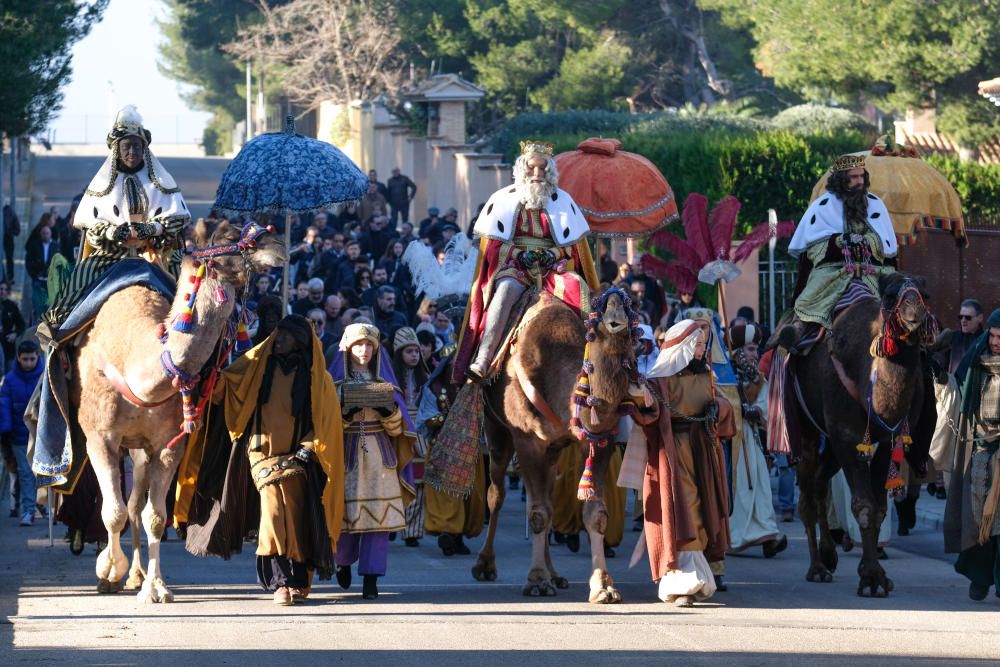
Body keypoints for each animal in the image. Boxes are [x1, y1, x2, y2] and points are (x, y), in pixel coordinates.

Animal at [67, 222, 286, 604]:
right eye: (230, 235)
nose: (277, 245)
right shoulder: (99, 436)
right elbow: (112, 512)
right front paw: (108, 572)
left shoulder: (169, 444)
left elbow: (155, 515)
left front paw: (156, 588)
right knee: (123, 506)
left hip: (141, 448)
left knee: (136, 504)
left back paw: (137, 575)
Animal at [470, 288, 640, 604]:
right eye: (598, 326)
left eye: (631, 310)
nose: (615, 305)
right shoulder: (528, 439)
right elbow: (537, 513)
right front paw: (536, 581)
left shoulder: (598, 440)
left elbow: (596, 514)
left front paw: (603, 586)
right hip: (496, 430)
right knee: (497, 493)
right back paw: (485, 565)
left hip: (554, 450)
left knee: (548, 496)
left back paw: (556, 574)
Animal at [788, 274, 936, 596]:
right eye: (890, 295)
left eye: (926, 294)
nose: (915, 309)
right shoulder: (845, 433)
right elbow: (864, 504)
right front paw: (871, 578)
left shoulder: (888, 438)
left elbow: (879, 507)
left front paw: (875, 573)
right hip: (804, 426)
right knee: (807, 488)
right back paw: (817, 568)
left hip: (831, 443)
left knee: (819, 481)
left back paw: (829, 556)